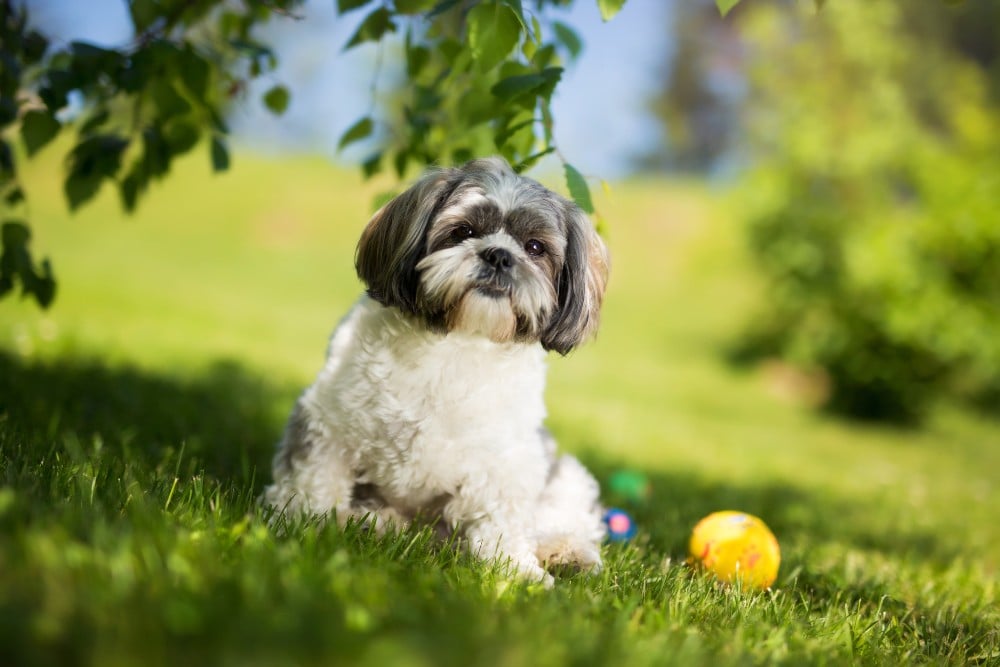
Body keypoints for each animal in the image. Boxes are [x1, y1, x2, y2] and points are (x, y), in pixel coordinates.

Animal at [264, 157, 608, 584]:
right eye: (463, 232)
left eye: (534, 247)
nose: (498, 255)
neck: (456, 341)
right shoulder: (327, 423)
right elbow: (313, 479)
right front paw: (300, 524)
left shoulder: (508, 461)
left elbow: (502, 518)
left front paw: (515, 569)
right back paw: (373, 523)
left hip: (566, 474)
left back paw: (567, 553)